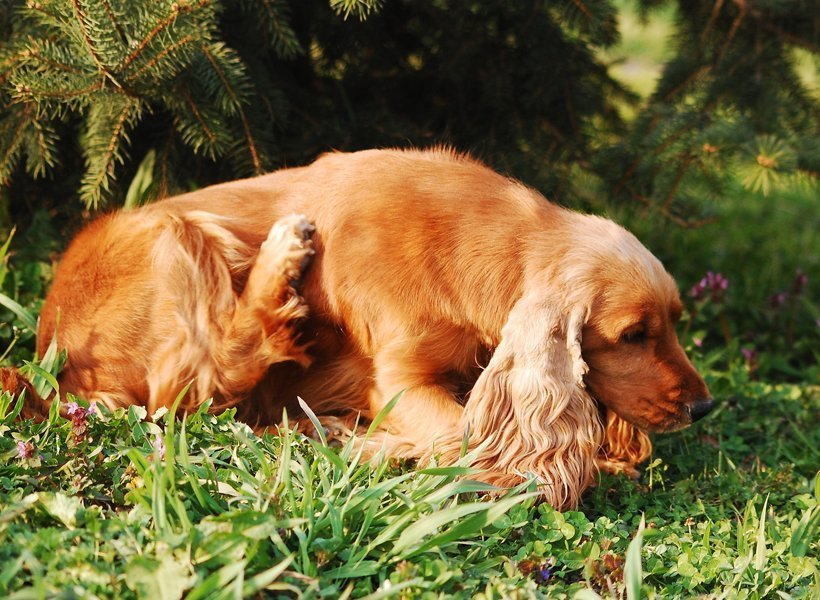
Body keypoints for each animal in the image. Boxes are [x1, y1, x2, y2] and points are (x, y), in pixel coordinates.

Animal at [17, 149, 716, 506]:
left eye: (674, 323)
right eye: (632, 335)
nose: (704, 406)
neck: (489, 245)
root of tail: (56, 358)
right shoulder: (399, 380)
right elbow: (467, 443)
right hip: (176, 235)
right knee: (206, 378)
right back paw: (284, 258)